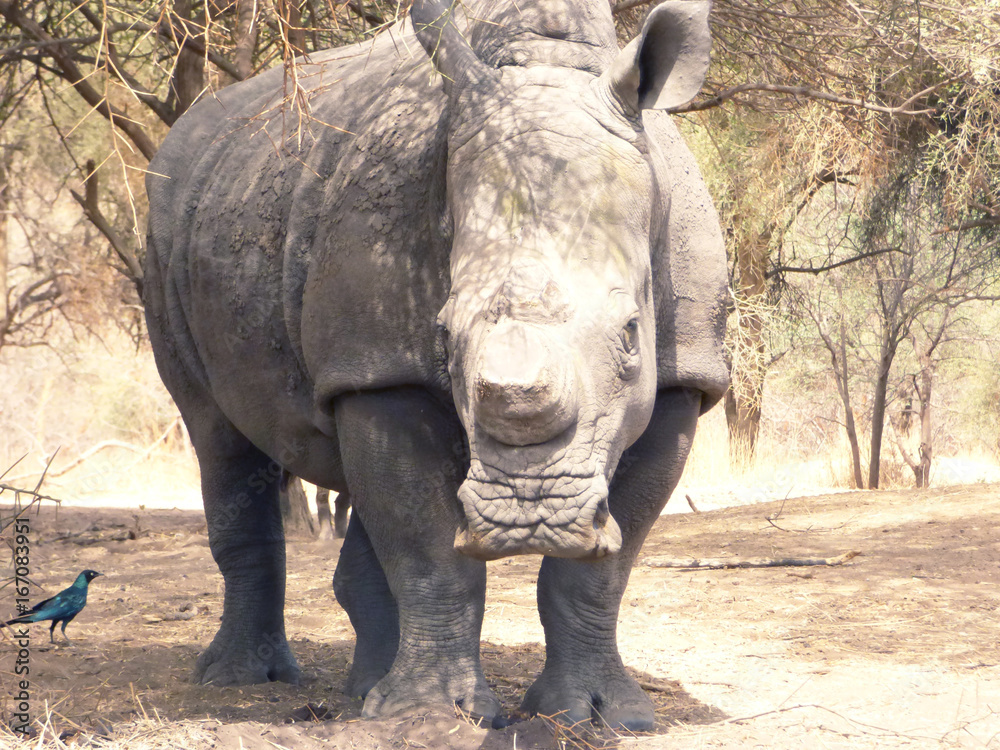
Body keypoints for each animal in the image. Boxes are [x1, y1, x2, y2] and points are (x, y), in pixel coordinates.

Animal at [143, 0, 727, 731]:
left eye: (630, 335)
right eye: (444, 334)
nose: (526, 518)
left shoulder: (685, 377)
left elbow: (601, 569)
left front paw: (601, 716)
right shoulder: (379, 365)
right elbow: (428, 546)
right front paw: (427, 719)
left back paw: (363, 691)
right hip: (166, 222)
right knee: (216, 434)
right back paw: (243, 679)